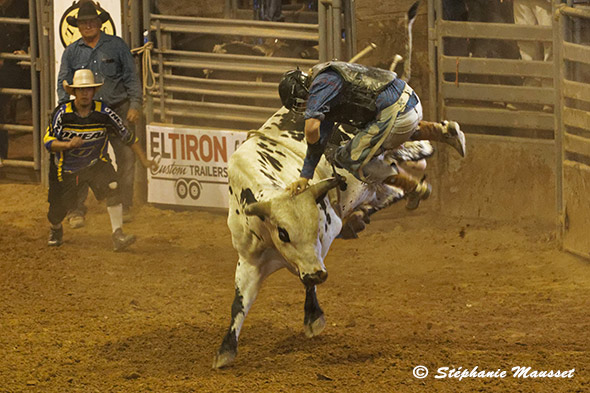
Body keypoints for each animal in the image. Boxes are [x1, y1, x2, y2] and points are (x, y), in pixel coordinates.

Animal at [215, 107, 438, 368]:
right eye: (283, 232)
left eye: (318, 224)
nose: (318, 275)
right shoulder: (249, 260)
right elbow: (239, 304)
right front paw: (226, 350)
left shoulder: (325, 238)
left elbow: (308, 278)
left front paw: (313, 318)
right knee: (391, 188)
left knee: (405, 164)